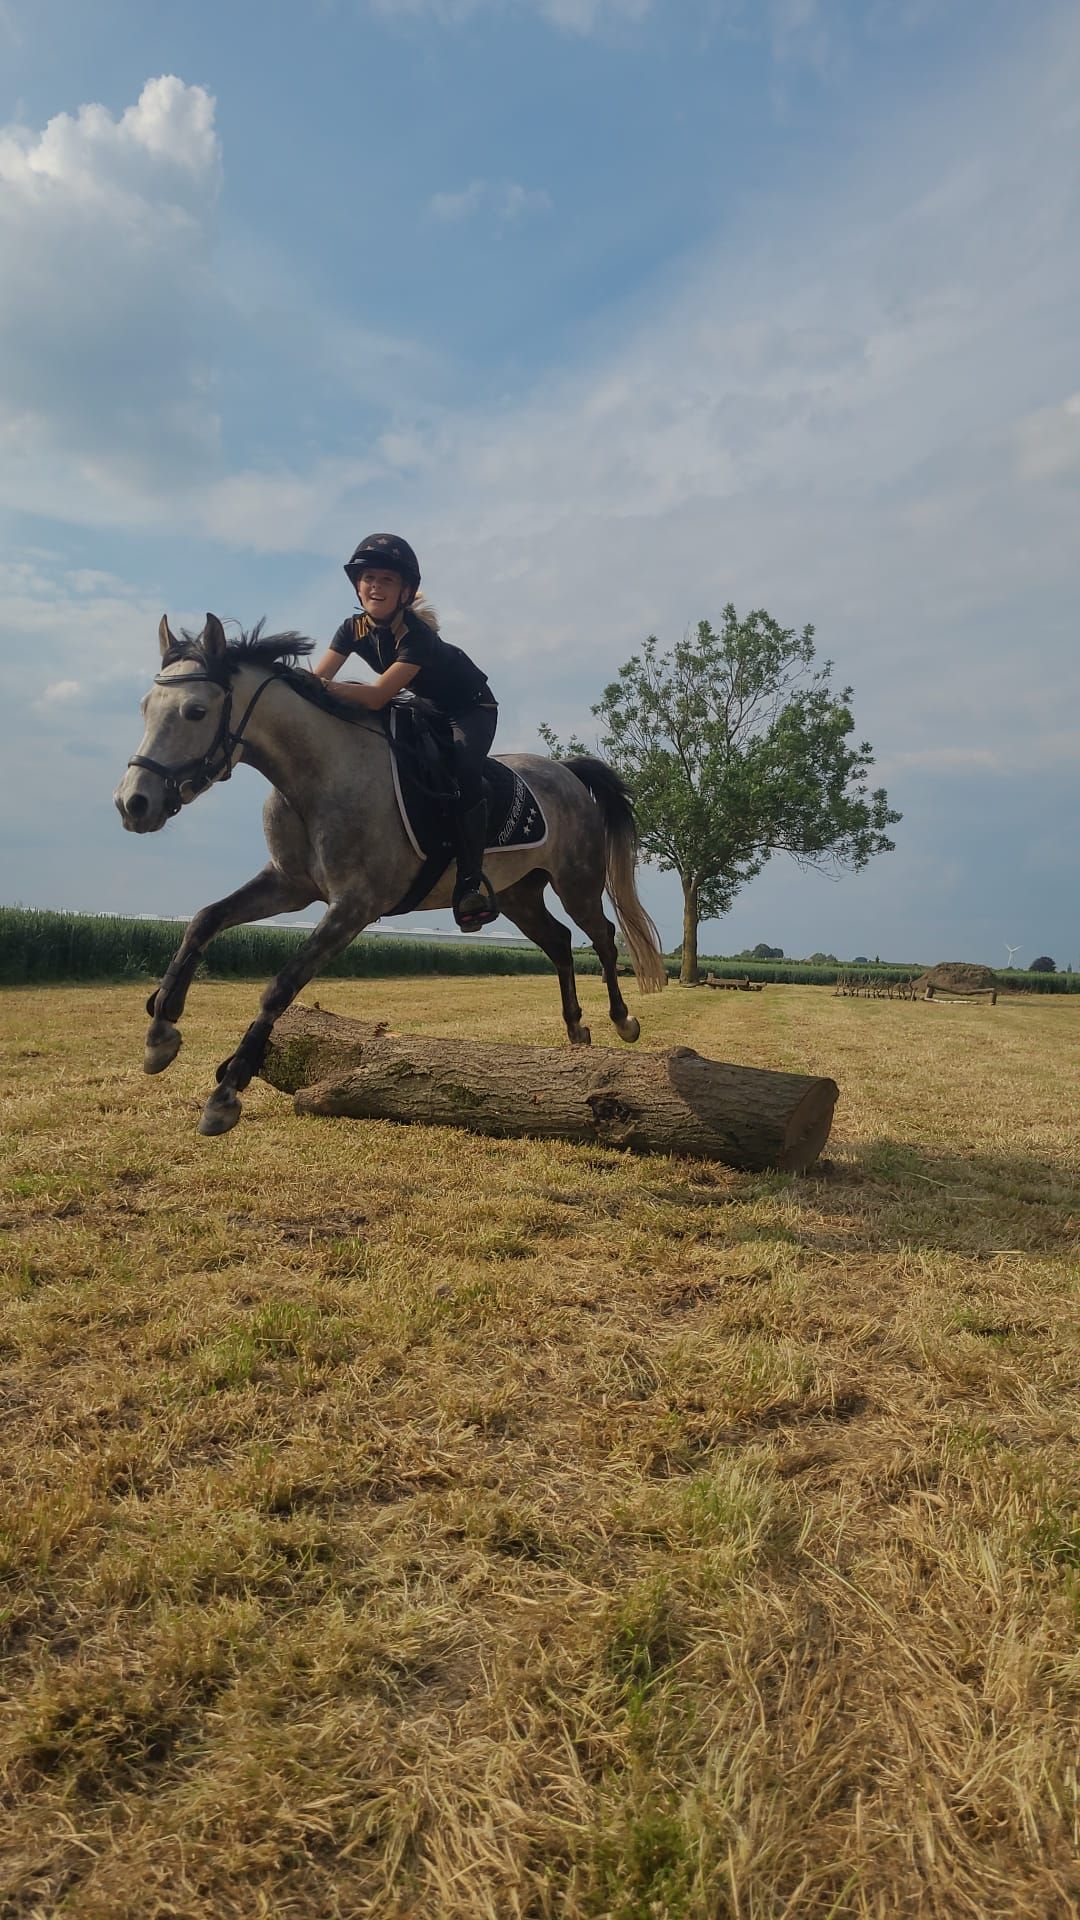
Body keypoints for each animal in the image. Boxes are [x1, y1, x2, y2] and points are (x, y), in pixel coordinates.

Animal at [114, 614, 667, 1136]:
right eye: (144, 708)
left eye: (196, 711)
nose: (133, 804)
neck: (317, 775)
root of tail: (567, 771)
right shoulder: (289, 885)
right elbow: (204, 920)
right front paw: (161, 1031)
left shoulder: (355, 905)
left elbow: (281, 985)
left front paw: (227, 1092)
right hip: (519, 894)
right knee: (558, 942)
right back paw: (576, 1032)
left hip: (576, 880)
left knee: (602, 935)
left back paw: (623, 1021)